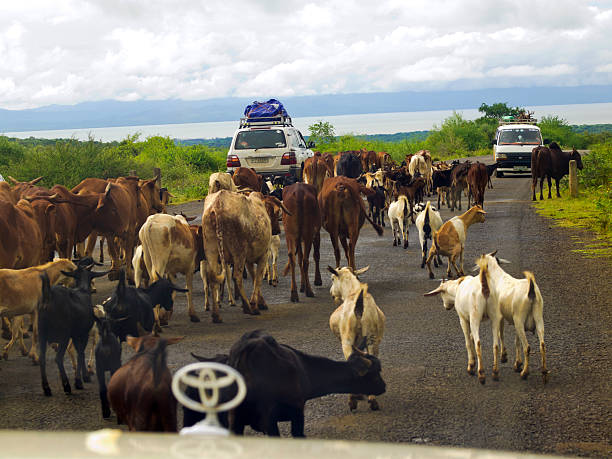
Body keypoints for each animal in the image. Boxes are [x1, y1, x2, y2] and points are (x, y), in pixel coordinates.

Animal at [38, 264, 109, 398]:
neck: (82, 289)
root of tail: (49, 296)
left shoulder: (76, 334)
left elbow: (80, 352)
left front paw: (83, 376)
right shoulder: (82, 333)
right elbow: (81, 353)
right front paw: (80, 380)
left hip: (42, 334)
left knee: (42, 359)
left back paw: (46, 389)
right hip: (64, 334)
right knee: (58, 358)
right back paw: (66, 386)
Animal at [328, 266, 384, 414]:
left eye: (332, 278)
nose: (331, 293)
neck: (352, 291)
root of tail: (359, 307)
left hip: (347, 340)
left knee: (351, 361)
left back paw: (353, 399)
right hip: (371, 338)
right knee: (371, 359)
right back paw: (372, 399)